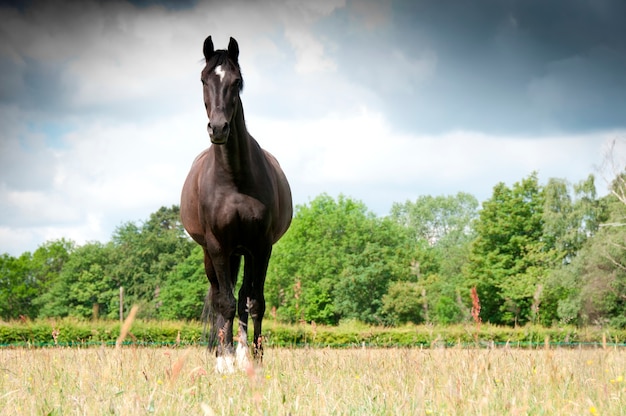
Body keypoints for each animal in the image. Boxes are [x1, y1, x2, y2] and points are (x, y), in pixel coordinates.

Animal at [178, 36, 290, 374]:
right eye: (204, 79)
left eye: (236, 81)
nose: (218, 129)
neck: (234, 178)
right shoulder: (217, 246)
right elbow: (224, 303)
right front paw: (225, 361)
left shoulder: (260, 246)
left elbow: (254, 302)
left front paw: (255, 357)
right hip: (215, 254)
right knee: (219, 297)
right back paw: (222, 352)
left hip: (242, 252)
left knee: (242, 297)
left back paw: (241, 353)